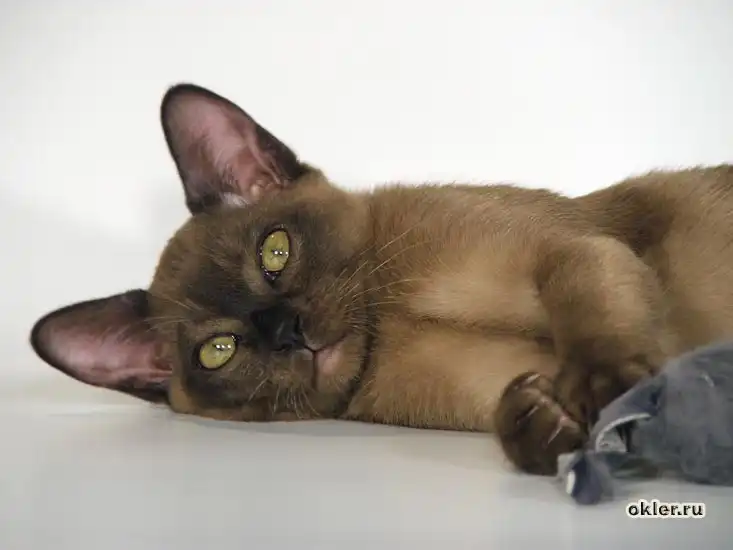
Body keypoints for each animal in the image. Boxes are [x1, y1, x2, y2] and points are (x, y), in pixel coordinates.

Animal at [29, 83, 733, 476]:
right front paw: (552, 419)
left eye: (275, 252)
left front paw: (614, 391)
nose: (288, 332)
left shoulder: (573, 250)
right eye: (219, 350)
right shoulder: (496, 384)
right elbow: (525, 420)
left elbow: (592, 324)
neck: (393, 319)